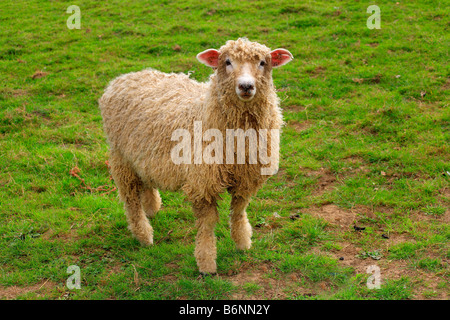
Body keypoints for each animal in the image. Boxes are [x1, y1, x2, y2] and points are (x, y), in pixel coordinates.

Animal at [99, 37, 294, 272]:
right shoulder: (202, 183)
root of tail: (122, 79)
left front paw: (242, 242)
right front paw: (207, 262)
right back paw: (144, 235)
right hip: (121, 157)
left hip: (143, 156)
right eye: (227, 62)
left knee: (145, 182)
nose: (246, 86)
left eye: (263, 63)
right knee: (130, 200)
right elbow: (207, 224)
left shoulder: (246, 178)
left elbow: (239, 211)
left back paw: (152, 208)